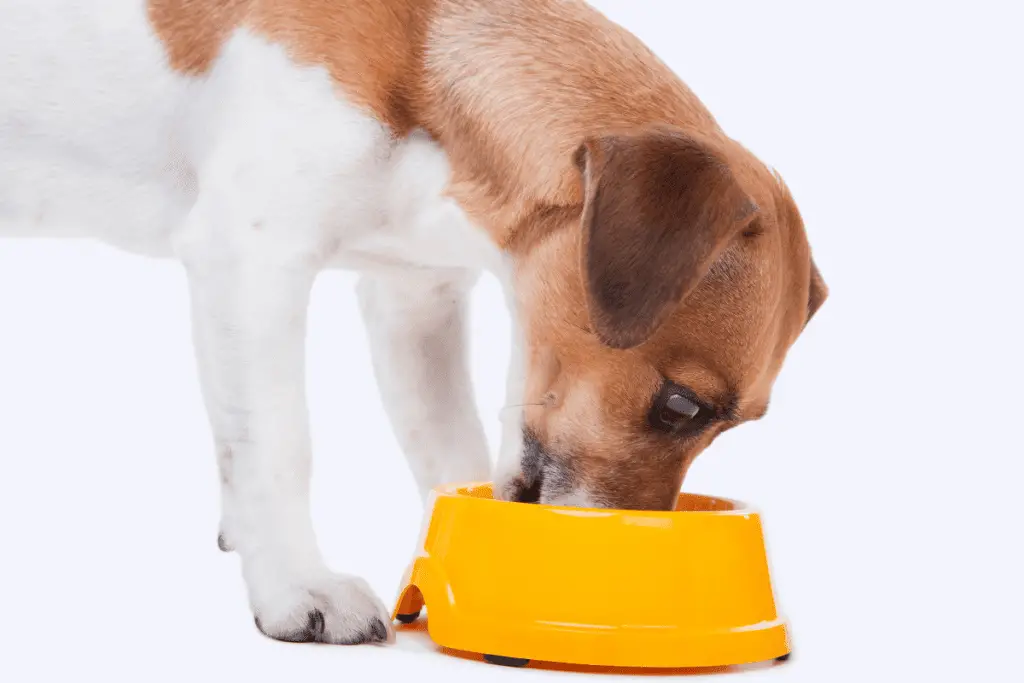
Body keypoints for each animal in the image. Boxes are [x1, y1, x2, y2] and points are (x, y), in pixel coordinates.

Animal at [0, 0, 827, 651]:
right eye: (684, 405)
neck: (423, 56)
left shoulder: (413, 300)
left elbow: (448, 451)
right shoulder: (252, 259)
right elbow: (278, 445)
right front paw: (297, 585)